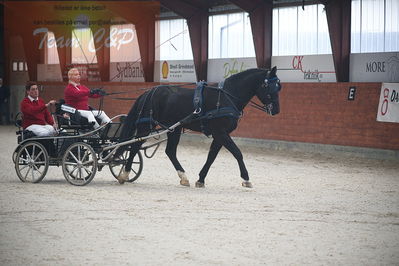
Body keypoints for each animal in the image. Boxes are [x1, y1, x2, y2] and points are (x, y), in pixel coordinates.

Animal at [115, 67, 282, 187]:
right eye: (269, 85)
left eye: (278, 86)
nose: (276, 110)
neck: (227, 96)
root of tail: (149, 92)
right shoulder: (220, 132)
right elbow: (237, 153)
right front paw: (246, 179)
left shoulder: (219, 134)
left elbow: (211, 156)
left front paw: (201, 179)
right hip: (146, 126)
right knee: (134, 146)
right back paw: (125, 174)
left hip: (174, 129)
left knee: (170, 151)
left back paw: (183, 177)